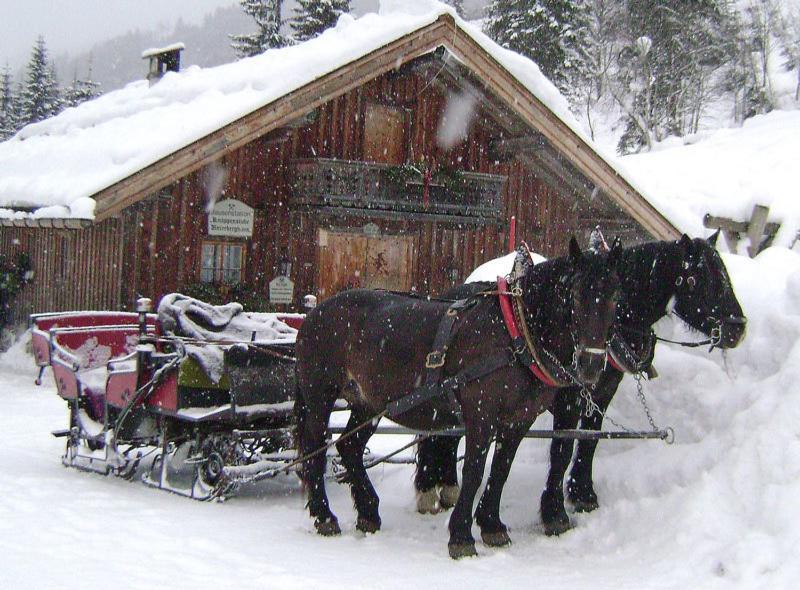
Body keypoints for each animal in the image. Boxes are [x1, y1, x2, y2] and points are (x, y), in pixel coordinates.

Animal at [296, 237, 624, 560]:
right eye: (576, 294)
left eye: (614, 297)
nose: (591, 365)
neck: (515, 333)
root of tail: (314, 314)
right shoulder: (481, 414)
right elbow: (475, 471)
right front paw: (462, 536)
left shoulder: (518, 420)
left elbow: (501, 469)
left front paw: (492, 525)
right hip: (318, 396)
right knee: (315, 452)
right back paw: (325, 516)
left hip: (367, 404)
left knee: (349, 447)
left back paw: (368, 512)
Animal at [416, 235, 748, 536]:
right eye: (699, 279)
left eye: (725, 276)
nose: (738, 328)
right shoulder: (570, 399)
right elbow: (562, 449)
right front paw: (554, 512)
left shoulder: (601, 394)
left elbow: (589, 441)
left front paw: (582, 493)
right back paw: (431, 489)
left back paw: (444, 487)